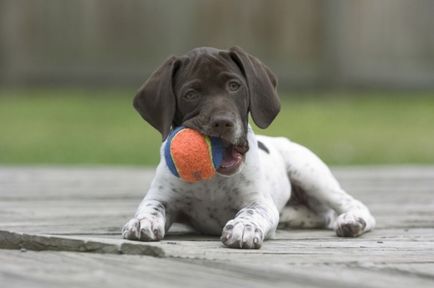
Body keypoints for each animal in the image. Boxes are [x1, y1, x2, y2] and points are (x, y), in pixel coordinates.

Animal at [123, 46, 376, 249]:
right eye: (191, 94)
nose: (223, 122)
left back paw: (352, 221)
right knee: (321, 215)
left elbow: (252, 212)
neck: (213, 180)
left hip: (311, 175)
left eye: (234, 86)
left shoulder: (260, 202)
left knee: (353, 205)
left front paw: (243, 227)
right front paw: (143, 221)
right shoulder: (162, 197)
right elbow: (151, 206)